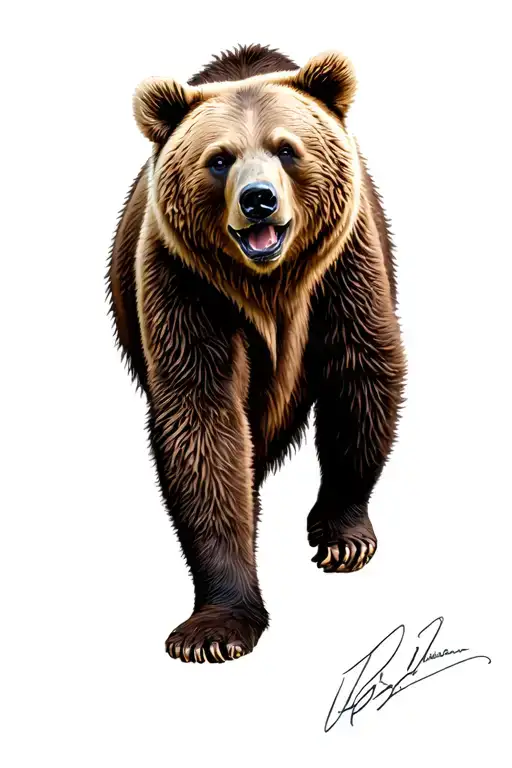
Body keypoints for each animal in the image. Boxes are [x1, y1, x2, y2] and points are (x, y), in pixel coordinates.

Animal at [107, 44, 406, 663]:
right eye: (219, 159)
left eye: (286, 148)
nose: (258, 200)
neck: (266, 287)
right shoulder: (184, 282)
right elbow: (203, 422)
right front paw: (214, 628)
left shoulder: (343, 266)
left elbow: (360, 371)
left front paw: (342, 540)